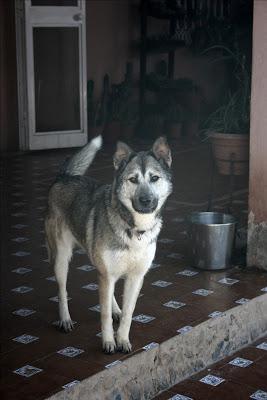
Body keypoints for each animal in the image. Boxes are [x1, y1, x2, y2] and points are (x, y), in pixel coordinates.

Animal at [45, 137, 173, 354]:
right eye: (133, 179)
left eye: (154, 178)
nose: (146, 201)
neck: (134, 228)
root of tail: (65, 177)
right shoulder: (107, 273)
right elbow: (103, 314)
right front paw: (108, 342)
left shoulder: (136, 277)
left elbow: (129, 313)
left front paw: (122, 339)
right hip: (62, 257)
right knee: (62, 290)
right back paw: (65, 319)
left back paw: (115, 309)